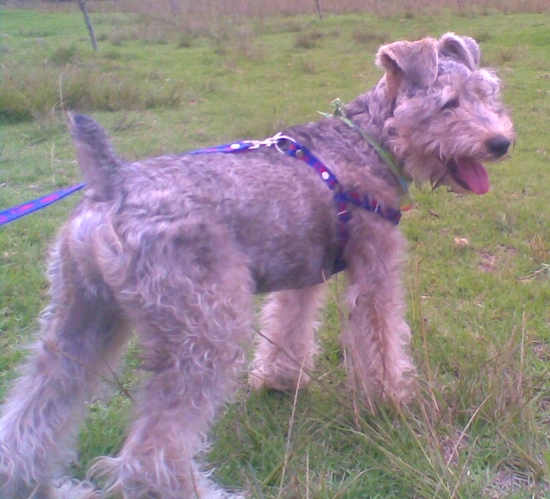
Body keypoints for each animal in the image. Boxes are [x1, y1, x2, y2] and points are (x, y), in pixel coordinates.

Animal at [0, 33, 516, 498]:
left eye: (486, 92)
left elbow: (289, 328)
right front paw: (391, 399)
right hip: (204, 333)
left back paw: (47, 485)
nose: (501, 142)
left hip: (80, 321)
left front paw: (279, 382)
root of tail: (113, 184)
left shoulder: (304, 274)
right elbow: (383, 342)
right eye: (448, 103)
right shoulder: (375, 272)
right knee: (151, 457)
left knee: (30, 421)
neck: (369, 140)